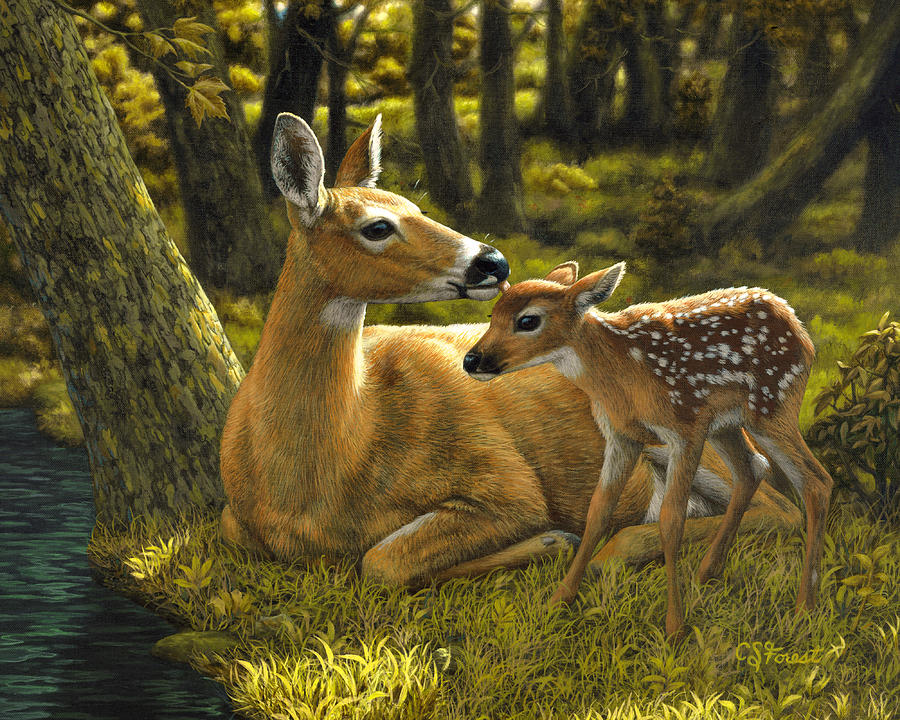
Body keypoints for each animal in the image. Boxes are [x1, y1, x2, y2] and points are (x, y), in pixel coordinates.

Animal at [219, 115, 801, 592]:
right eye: (378, 226)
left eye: (416, 207)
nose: (493, 261)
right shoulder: (234, 521)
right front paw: (552, 543)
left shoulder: (505, 481)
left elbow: (382, 561)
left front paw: (551, 540)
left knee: (776, 504)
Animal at [464, 261, 832, 638]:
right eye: (492, 314)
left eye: (528, 320)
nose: (472, 360)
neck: (622, 375)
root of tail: (794, 320)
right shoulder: (621, 435)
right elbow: (598, 511)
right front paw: (558, 600)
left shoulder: (684, 427)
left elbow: (671, 519)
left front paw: (675, 627)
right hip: (726, 423)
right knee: (753, 468)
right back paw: (707, 573)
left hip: (773, 404)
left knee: (816, 480)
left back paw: (805, 606)